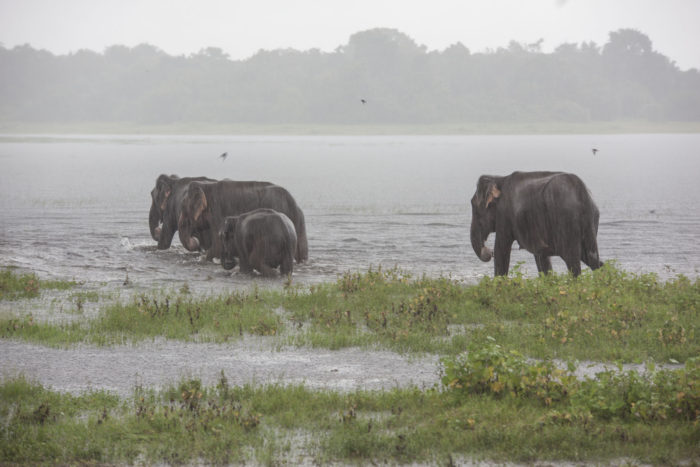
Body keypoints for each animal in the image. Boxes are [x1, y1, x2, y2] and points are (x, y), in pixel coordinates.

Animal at [176, 180, 308, 264]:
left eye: (183, 208)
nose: (195, 240)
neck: (206, 186)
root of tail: (295, 205)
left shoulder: (218, 212)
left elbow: (218, 245)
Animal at [468, 172, 604, 278]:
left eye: (474, 209)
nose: (488, 251)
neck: (499, 178)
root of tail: (582, 194)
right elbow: (541, 257)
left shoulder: (504, 214)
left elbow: (501, 250)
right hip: (590, 220)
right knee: (591, 257)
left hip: (566, 221)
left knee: (572, 261)